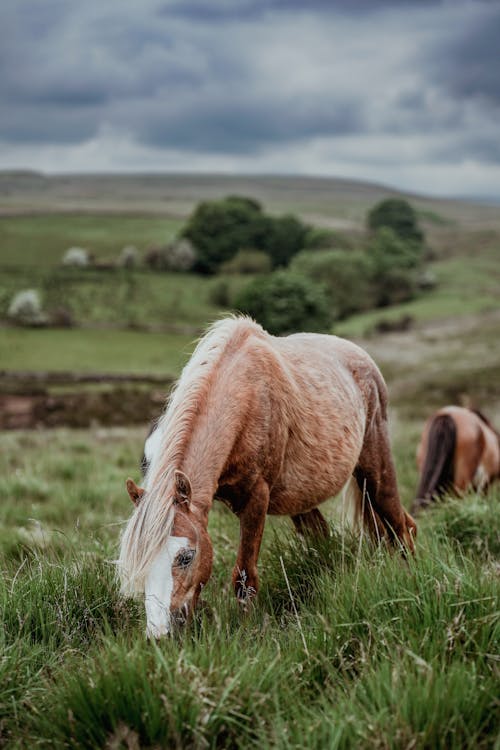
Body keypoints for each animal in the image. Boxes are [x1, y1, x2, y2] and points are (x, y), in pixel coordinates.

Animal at [117, 318, 414, 640]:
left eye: (186, 556)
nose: (160, 635)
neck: (245, 396)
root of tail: (363, 359)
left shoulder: (256, 500)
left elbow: (244, 577)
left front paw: (247, 634)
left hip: (375, 470)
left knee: (401, 526)